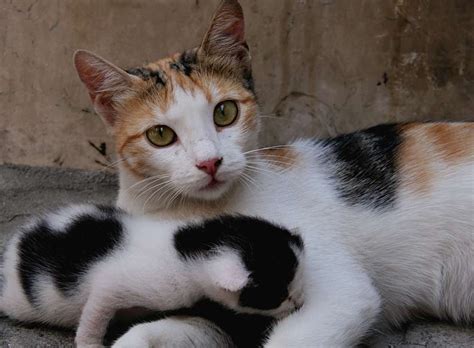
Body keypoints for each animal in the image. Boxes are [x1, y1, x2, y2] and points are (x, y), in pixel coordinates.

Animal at [0, 205, 304, 346]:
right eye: (280, 295)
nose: (299, 303)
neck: (186, 245)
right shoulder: (111, 286)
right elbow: (95, 313)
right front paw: (89, 344)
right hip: (21, 302)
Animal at [75, 0, 474, 346]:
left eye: (225, 113)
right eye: (160, 135)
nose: (210, 162)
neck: (181, 214)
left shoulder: (343, 292)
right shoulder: (212, 305)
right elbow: (160, 328)